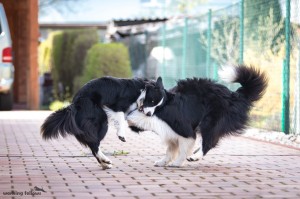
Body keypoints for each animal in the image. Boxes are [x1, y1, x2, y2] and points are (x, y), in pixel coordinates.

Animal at [126, 65, 268, 166]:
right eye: (152, 101)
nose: (149, 113)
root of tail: (234, 96)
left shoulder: (184, 130)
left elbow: (184, 147)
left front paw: (177, 162)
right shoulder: (171, 134)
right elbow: (170, 150)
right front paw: (163, 162)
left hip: (210, 121)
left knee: (209, 141)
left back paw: (195, 156)